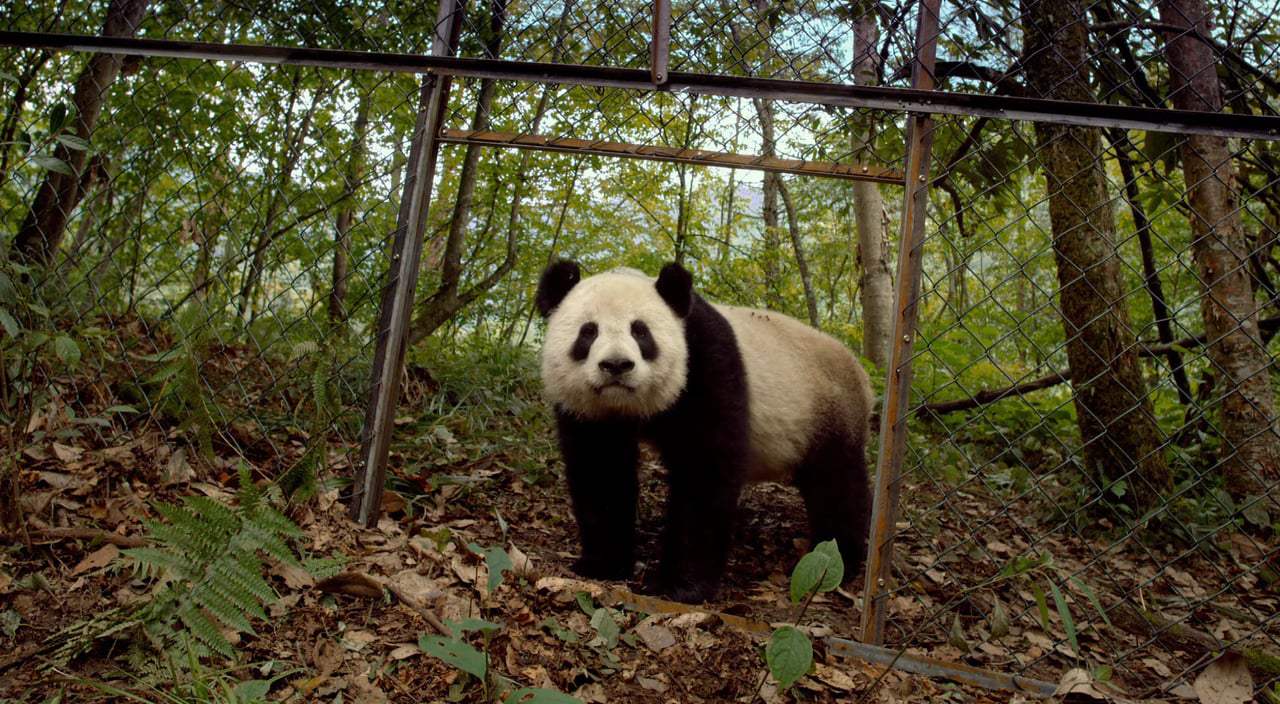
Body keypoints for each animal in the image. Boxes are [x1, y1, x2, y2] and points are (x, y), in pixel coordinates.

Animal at [535, 260, 874, 603]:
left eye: (640, 331)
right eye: (588, 332)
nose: (617, 365)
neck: (629, 406)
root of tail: (862, 373)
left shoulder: (706, 364)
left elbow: (704, 471)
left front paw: (678, 585)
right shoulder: (591, 413)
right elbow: (601, 470)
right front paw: (602, 565)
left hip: (828, 409)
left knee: (836, 482)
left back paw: (838, 557)